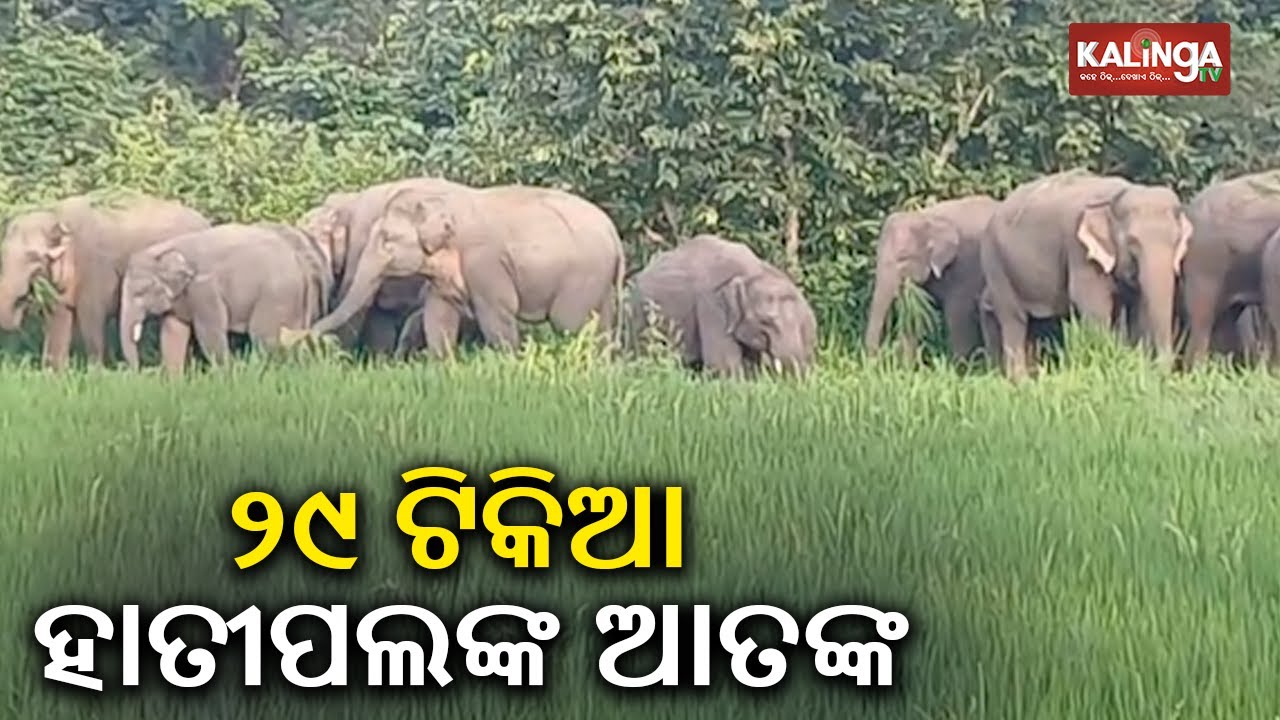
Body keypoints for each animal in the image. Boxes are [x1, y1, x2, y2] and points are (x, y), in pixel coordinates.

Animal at [0, 193, 211, 369]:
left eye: (33, 257)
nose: (23, 300)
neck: (56, 217)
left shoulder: (96, 271)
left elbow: (91, 321)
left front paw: (97, 374)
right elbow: (57, 320)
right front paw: (54, 375)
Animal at [118, 222, 334, 373]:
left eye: (141, 291)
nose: (139, 372)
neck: (169, 247)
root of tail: (300, 261)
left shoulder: (205, 291)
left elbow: (209, 333)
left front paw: (227, 376)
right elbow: (173, 333)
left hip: (276, 296)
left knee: (264, 336)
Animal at [864, 194, 999, 361]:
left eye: (903, 258)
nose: (877, 359)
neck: (928, 216)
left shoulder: (969, 264)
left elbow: (957, 313)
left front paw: (959, 366)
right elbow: (915, 312)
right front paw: (908, 365)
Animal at [981, 170, 1190, 380]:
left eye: (1177, 241)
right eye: (1132, 242)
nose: (1165, 374)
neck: (1118, 194)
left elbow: (1137, 307)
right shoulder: (1080, 250)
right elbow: (1092, 302)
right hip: (996, 263)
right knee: (1013, 317)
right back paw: (1021, 382)